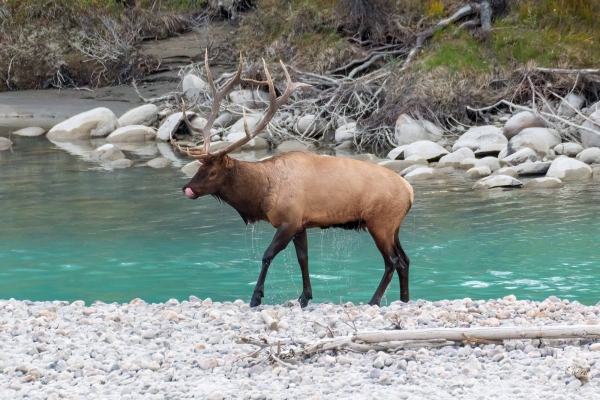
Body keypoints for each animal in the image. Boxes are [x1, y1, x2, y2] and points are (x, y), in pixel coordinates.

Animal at [169, 51, 412, 308]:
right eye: (200, 167)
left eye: (213, 172)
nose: (187, 188)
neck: (263, 195)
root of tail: (410, 191)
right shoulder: (301, 224)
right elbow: (303, 258)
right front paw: (304, 297)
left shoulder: (289, 220)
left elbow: (267, 255)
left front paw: (256, 297)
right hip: (393, 226)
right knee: (405, 260)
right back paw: (404, 299)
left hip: (380, 222)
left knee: (392, 262)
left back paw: (374, 300)